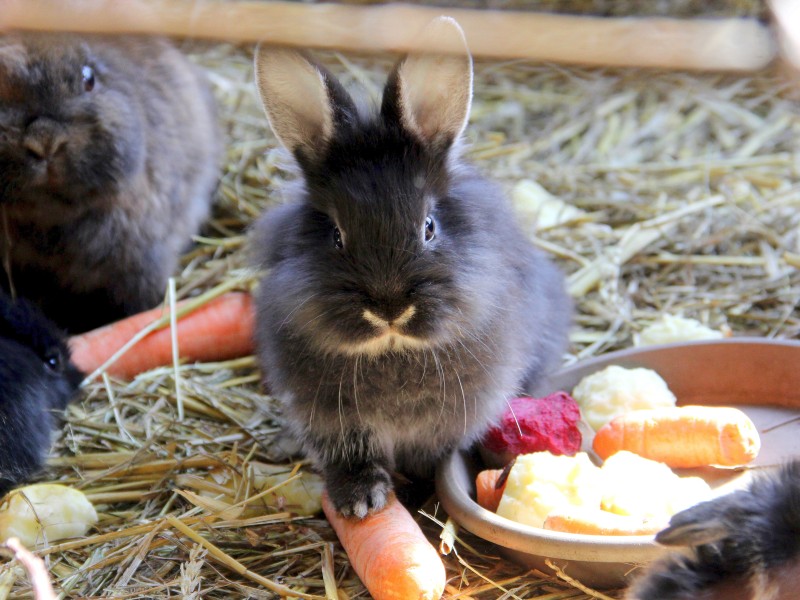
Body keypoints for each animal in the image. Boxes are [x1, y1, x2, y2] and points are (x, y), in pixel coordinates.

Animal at [253, 16, 572, 516]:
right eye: (336, 235)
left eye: (428, 226)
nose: (388, 310)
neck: (393, 350)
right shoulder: (334, 423)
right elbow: (350, 457)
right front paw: (358, 502)